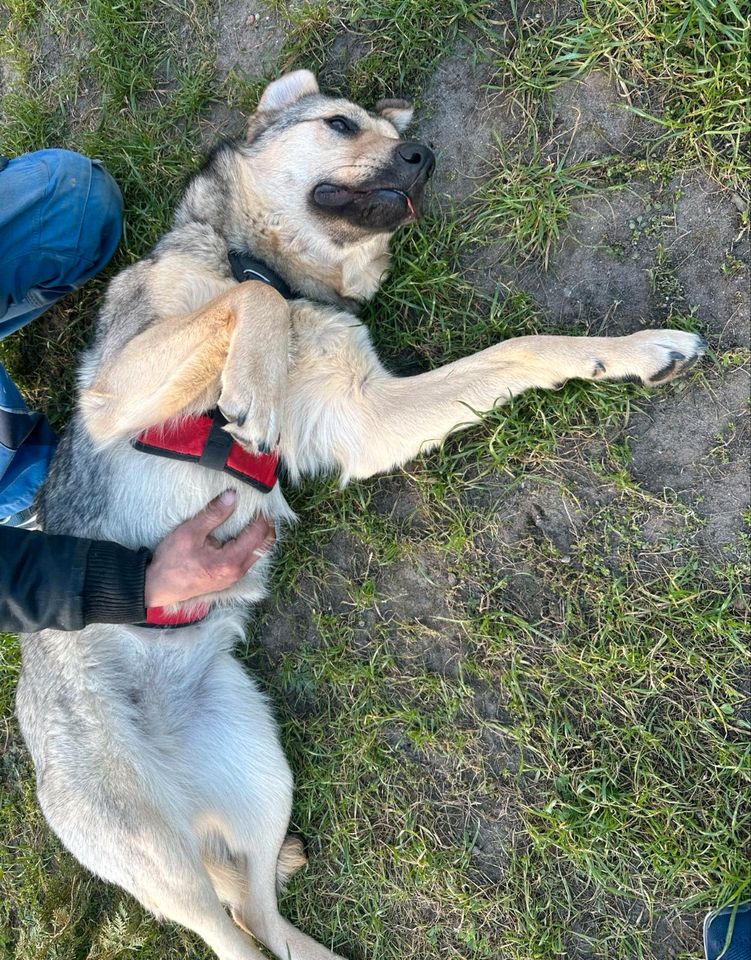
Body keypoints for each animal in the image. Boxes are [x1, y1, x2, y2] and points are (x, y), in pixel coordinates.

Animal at [16, 69, 712, 960]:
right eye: (341, 125)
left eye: (391, 135)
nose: (423, 155)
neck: (285, 270)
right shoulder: (114, 393)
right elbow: (250, 302)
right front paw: (250, 383)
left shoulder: (362, 415)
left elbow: (518, 349)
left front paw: (632, 349)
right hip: (156, 854)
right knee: (228, 932)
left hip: (262, 772)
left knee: (260, 916)